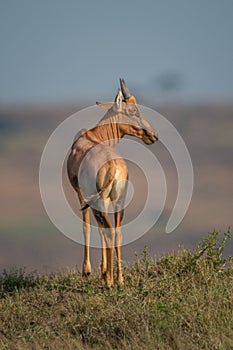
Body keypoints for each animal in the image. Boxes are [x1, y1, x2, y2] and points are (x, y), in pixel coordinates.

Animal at [67, 79, 158, 288]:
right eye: (132, 111)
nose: (154, 135)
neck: (91, 136)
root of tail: (113, 165)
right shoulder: (103, 200)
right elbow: (101, 230)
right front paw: (103, 271)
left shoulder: (82, 195)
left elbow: (87, 226)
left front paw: (88, 271)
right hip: (118, 201)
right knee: (117, 232)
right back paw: (119, 279)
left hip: (99, 200)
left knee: (108, 231)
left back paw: (109, 281)